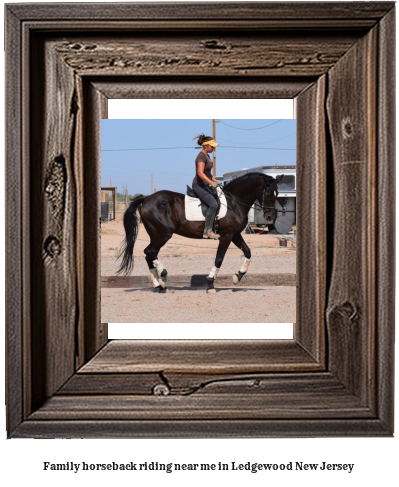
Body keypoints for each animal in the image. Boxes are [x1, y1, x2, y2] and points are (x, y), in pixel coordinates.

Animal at [117, 173, 282, 294]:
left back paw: (159, 285)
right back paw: (163, 277)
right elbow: (219, 259)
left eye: (277, 194)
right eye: (269, 194)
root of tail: (146, 198)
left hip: (156, 234)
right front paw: (210, 284)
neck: (234, 202)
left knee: (149, 254)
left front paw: (238, 276)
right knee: (150, 252)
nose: (270, 217)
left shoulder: (235, 235)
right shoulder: (226, 236)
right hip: (163, 234)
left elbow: (248, 252)